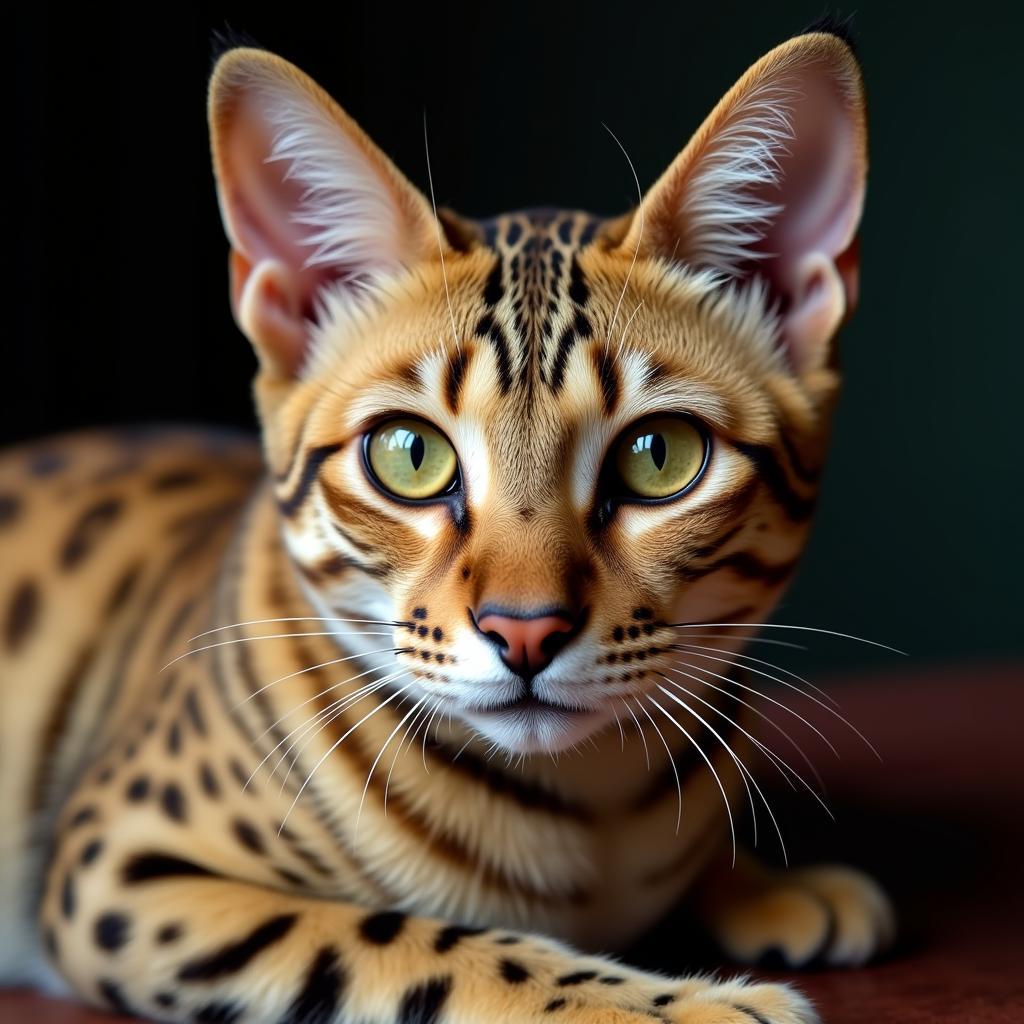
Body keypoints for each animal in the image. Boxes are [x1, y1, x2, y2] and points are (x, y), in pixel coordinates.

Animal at [0, 24, 892, 1024]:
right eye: (408, 454)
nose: (525, 629)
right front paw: (678, 1005)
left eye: (658, 455)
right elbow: (424, 942)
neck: (587, 816)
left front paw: (766, 881)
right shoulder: (116, 868)